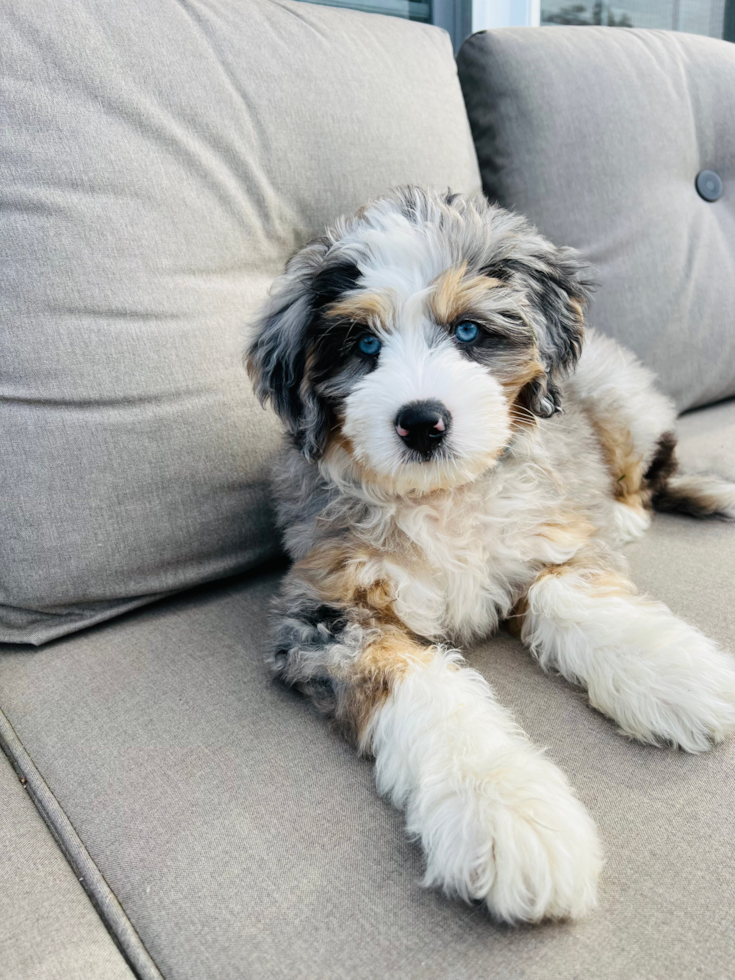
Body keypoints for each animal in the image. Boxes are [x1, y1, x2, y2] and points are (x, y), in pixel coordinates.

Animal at [246, 186, 735, 928]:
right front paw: (508, 817)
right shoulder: (326, 614)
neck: (442, 495)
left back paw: (626, 511)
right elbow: (425, 687)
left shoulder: (547, 532)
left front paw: (676, 673)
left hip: (620, 404)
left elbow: (573, 591)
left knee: (651, 471)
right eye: (362, 345)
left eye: (469, 333)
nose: (422, 422)